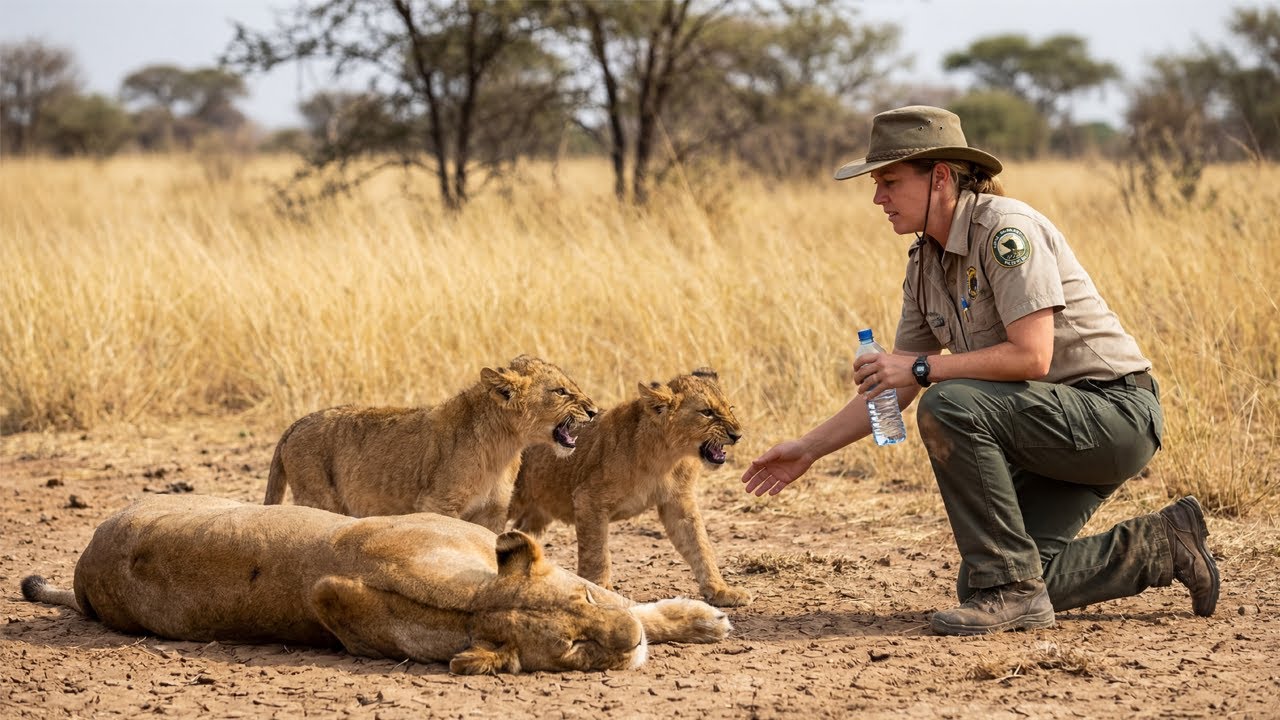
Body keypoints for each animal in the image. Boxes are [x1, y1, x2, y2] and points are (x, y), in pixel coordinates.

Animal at [21, 495, 732, 675]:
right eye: (574, 647)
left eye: (584, 597)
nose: (629, 642)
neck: (465, 604)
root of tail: (83, 571)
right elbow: (640, 604)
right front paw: (692, 621)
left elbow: (635, 599)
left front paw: (695, 619)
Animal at [264, 354, 597, 532]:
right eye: (560, 391)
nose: (594, 411)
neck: (504, 446)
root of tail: (296, 423)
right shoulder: (438, 504)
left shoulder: (493, 512)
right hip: (318, 497)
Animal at [509, 367, 752, 607]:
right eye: (707, 412)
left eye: (730, 408)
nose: (738, 435)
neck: (667, 456)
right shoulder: (588, 498)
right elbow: (596, 552)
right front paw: (600, 589)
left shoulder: (679, 503)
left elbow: (700, 546)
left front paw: (721, 590)